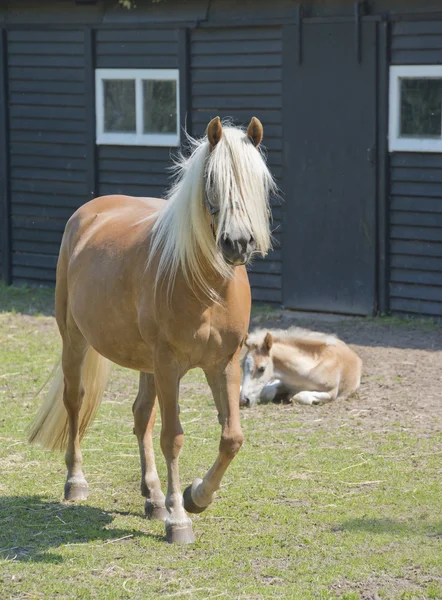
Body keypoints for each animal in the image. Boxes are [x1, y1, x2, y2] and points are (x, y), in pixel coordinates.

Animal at [28, 116, 276, 544]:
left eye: (256, 181)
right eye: (211, 181)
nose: (238, 243)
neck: (205, 285)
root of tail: (89, 213)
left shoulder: (223, 364)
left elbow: (231, 438)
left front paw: (196, 496)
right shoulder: (169, 364)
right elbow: (172, 437)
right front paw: (179, 519)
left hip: (147, 365)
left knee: (141, 414)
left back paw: (153, 496)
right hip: (76, 341)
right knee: (75, 402)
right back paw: (77, 482)